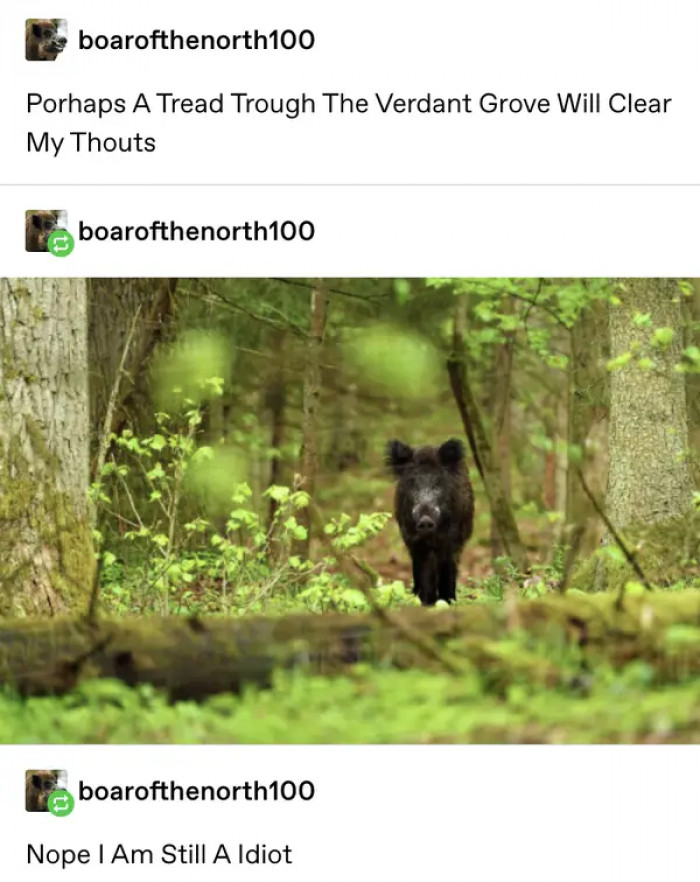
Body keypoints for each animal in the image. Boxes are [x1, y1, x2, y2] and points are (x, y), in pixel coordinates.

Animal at [386, 439, 474, 606]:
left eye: (437, 485)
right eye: (412, 484)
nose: (425, 520)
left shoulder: (452, 540)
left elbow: (447, 567)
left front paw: (447, 601)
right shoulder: (415, 540)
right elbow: (424, 569)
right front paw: (427, 602)